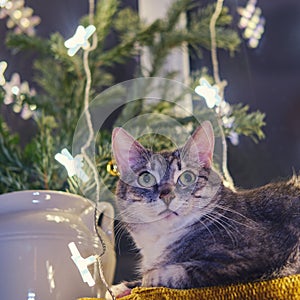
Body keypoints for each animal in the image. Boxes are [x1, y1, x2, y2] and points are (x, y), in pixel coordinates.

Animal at [109, 120, 298, 298]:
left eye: (187, 177)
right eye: (146, 179)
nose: (167, 195)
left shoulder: (251, 257)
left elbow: (181, 271)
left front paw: (146, 279)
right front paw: (120, 288)